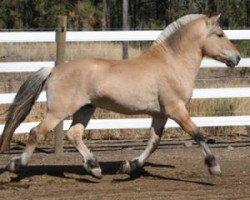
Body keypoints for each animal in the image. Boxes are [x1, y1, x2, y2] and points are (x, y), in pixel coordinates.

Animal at [0, 14, 242, 178]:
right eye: (220, 34)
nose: (237, 58)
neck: (172, 64)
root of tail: (53, 70)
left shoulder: (160, 114)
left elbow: (154, 142)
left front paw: (129, 165)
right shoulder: (176, 110)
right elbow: (198, 134)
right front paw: (214, 166)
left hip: (85, 109)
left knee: (74, 134)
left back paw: (95, 168)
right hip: (58, 111)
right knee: (36, 132)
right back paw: (16, 165)